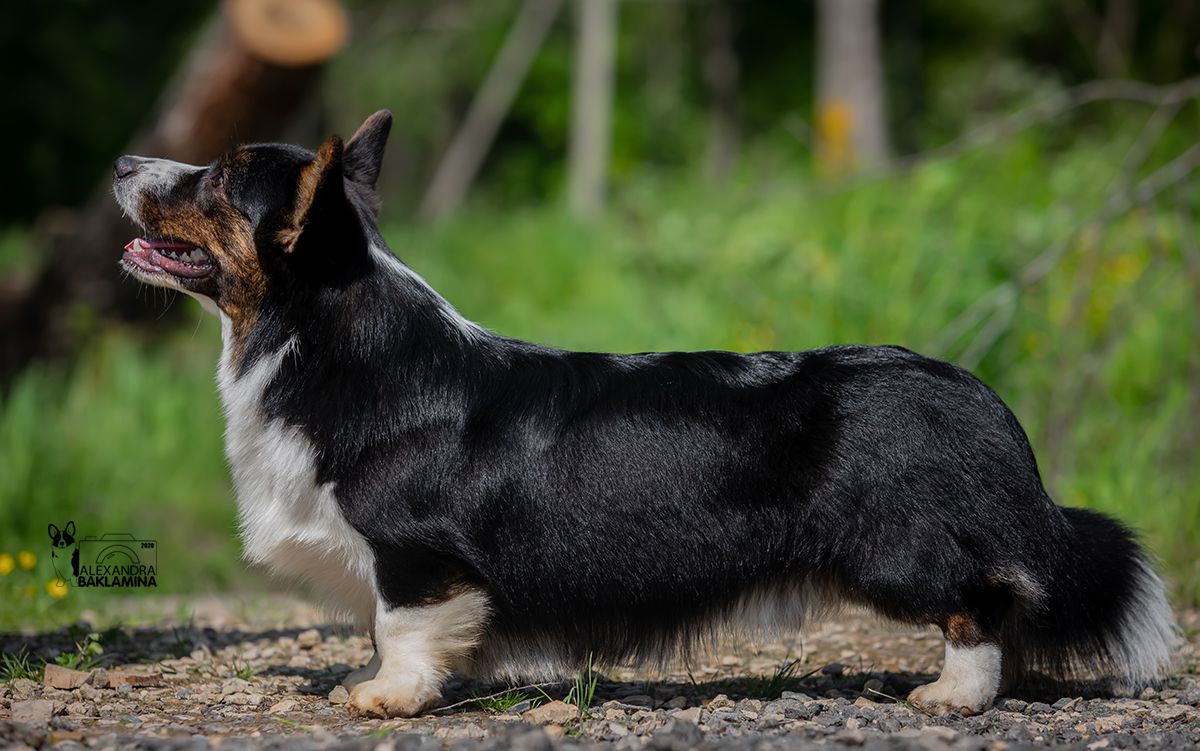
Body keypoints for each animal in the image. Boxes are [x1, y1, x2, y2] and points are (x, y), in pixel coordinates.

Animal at [108, 109, 1176, 715]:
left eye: (217, 177)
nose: (120, 162)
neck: (321, 339)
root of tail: (976, 397)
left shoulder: (414, 553)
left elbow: (402, 628)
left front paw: (383, 696)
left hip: (895, 550)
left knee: (981, 602)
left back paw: (951, 694)